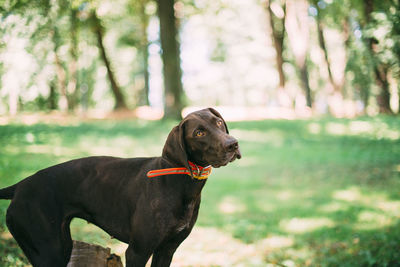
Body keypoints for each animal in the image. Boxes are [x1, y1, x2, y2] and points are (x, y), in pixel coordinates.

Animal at [0, 108, 241, 267]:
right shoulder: (137, 251)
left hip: (62, 245)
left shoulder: (167, 250)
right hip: (48, 251)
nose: (233, 144)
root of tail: (19, 186)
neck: (181, 183)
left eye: (218, 123)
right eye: (199, 133)